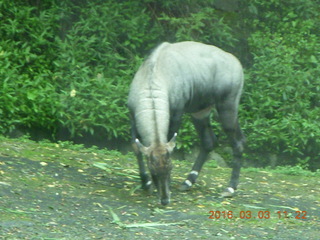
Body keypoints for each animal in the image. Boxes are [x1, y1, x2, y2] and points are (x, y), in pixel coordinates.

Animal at [127, 40, 245, 204]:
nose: (165, 200)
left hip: (227, 108)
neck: (154, 72)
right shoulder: (132, 116)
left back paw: (230, 188)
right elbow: (136, 148)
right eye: (153, 171)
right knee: (209, 142)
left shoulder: (177, 113)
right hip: (200, 113)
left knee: (238, 143)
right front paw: (146, 183)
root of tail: (236, 63)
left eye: (170, 168)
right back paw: (188, 181)